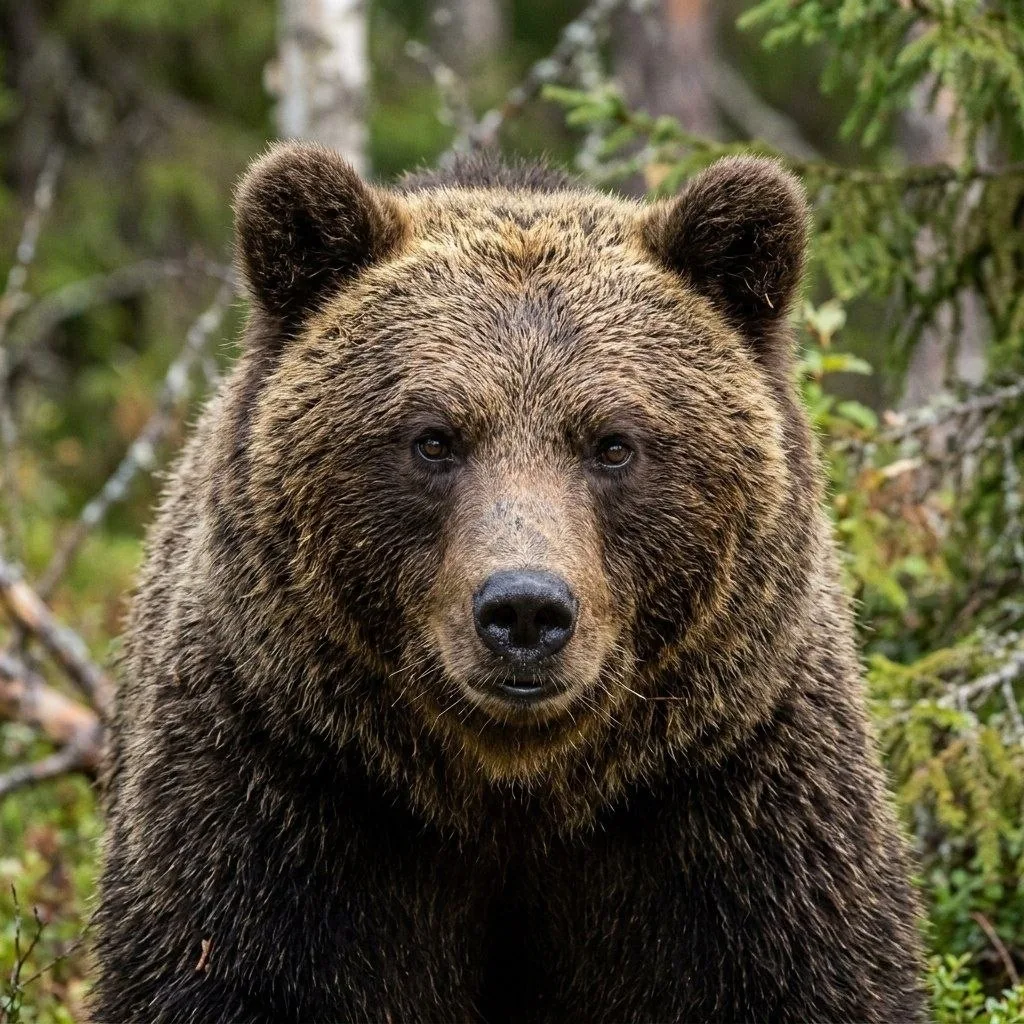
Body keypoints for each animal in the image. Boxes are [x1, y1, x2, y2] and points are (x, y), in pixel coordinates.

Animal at [93, 142, 925, 1024]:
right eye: (433, 438)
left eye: (613, 443)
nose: (525, 609)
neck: (513, 796)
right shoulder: (275, 805)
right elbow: (228, 963)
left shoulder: (738, 814)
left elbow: (803, 970)